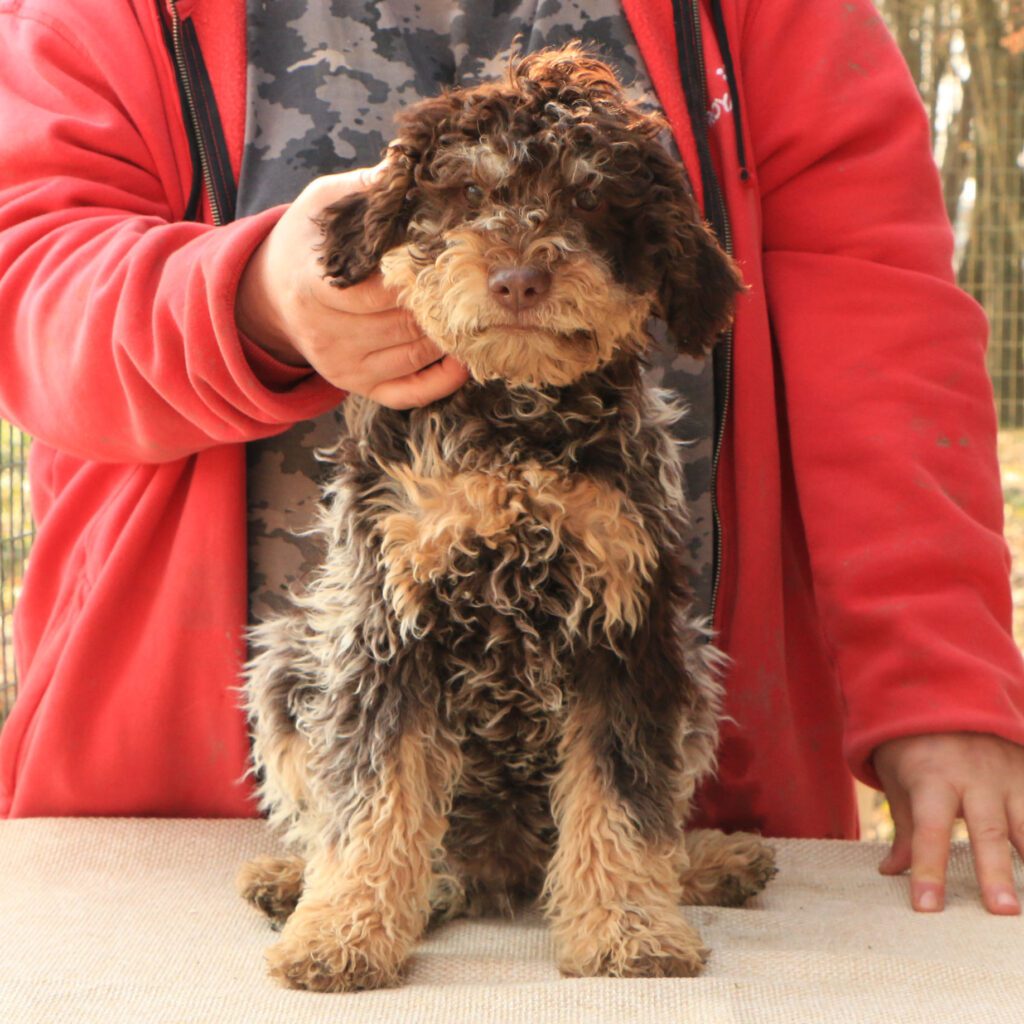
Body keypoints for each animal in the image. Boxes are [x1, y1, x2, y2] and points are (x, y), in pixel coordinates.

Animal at [237, 41, 774, 991]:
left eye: (592, 200)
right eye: (467, 192)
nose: (519, 278)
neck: (515, 431)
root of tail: (500, 864)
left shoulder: (628, 632)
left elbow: (621, 796)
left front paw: (630, 928)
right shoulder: (387, 626)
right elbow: (374, 799)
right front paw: (342, 933)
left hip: (692, 665)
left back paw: (704, 865)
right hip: (290, 660)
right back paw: (301, 882)